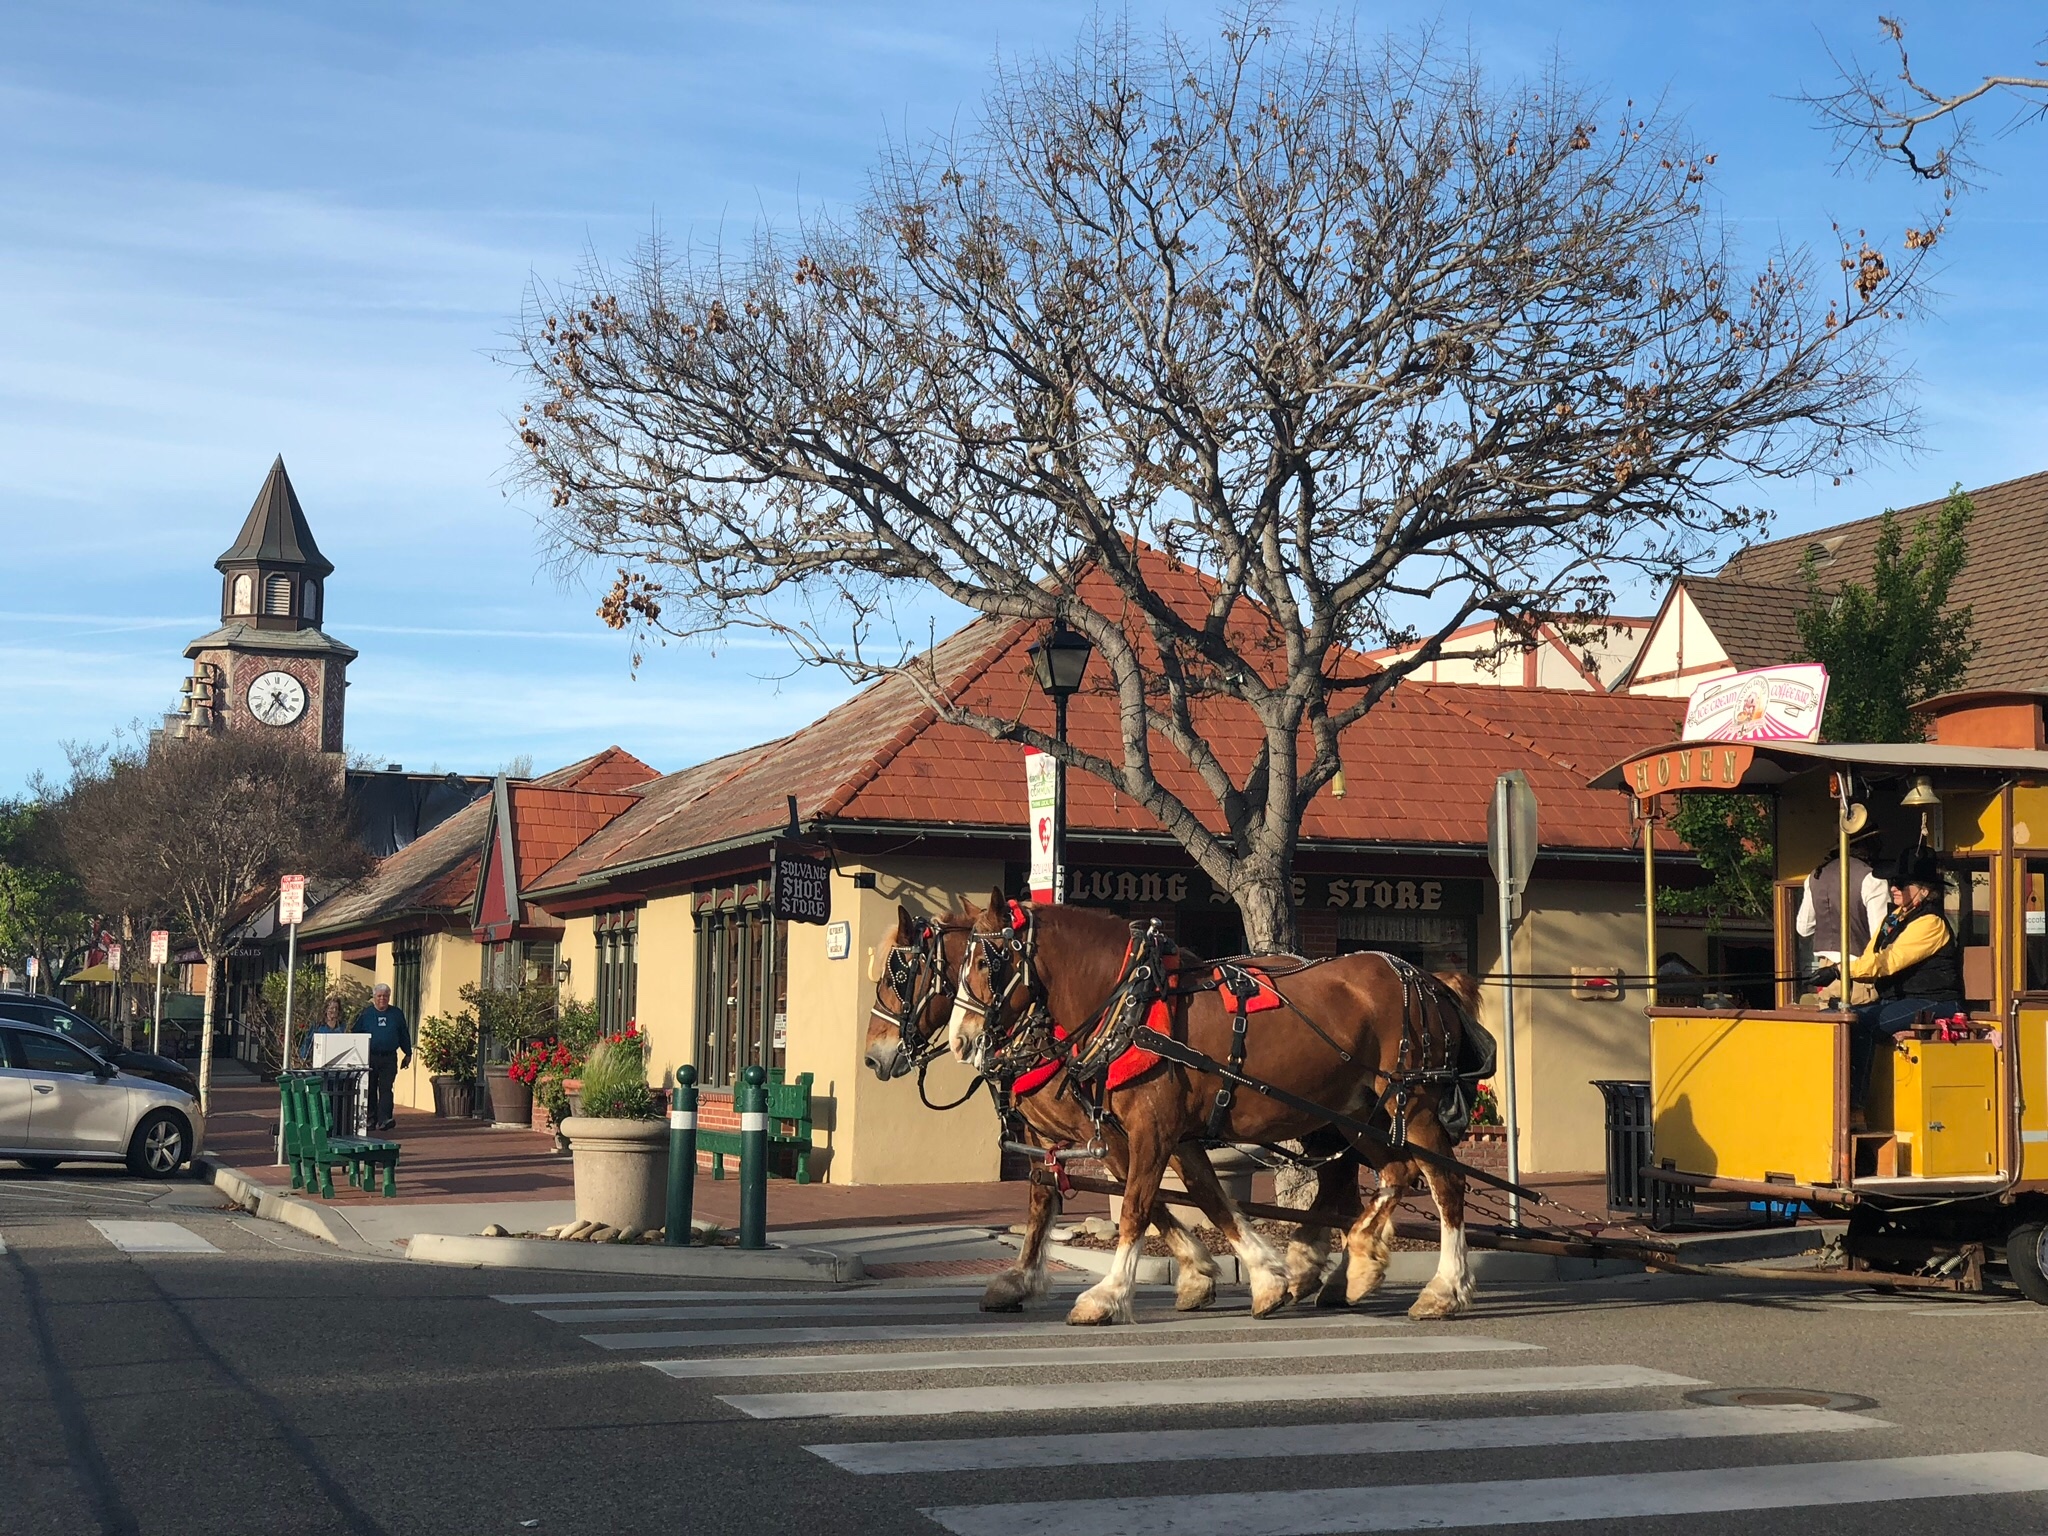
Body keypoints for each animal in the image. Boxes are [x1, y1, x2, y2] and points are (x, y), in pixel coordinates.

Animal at [856, 909, 1236, 1318]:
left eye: (896, 976)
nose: (871, 1057)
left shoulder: (1113, 1134)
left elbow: (1142, 1195)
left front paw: (1196, 1272)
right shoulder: (1043, 1133)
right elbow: (1042, 1197)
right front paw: (1018, 1280)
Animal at [950, 897, 1482, 1327]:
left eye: (986, 960)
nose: (961, 1040)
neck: (1133, 1003)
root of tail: (1429, 980)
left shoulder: (1151, 1128)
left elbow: (1137, 1205)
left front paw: (1109, 1295)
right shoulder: (1172, 1135)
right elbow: (1210, 1198)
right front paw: (1263, 1279)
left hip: (1412, 1101)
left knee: (1445, 1183)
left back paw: (1443, 1290)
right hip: (1361, 1111)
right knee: (1393, 1172)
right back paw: (1354, 1266)